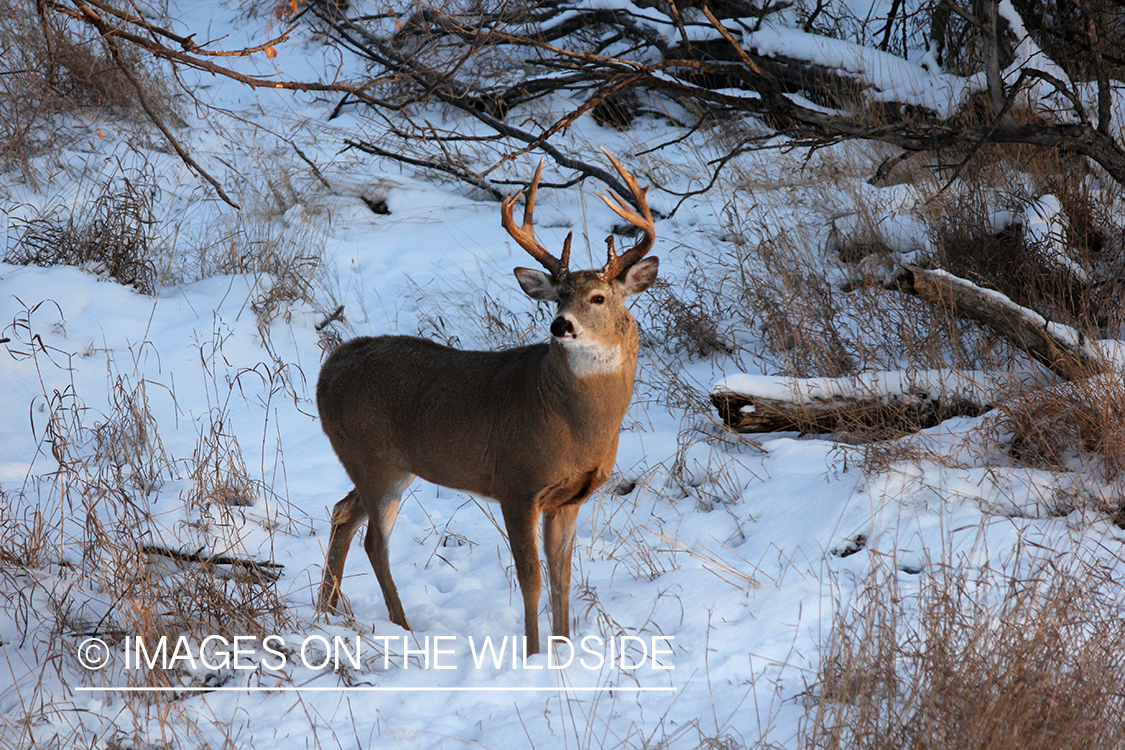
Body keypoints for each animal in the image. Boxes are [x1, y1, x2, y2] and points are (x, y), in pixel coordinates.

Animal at [315, 149, 657, 652]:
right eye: (558, 297)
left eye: (597, 297)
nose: (561, 326)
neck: (576, 426)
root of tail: (329, 368)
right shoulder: (517, 484)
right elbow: (531, 578)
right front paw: (534, 655)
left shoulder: (569, 497)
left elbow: (562, 578)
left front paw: (563, 650)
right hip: (373, 459)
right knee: (374, 541)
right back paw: (402, 627)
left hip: (383, 464)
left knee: (343, 513)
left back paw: (327, 613)